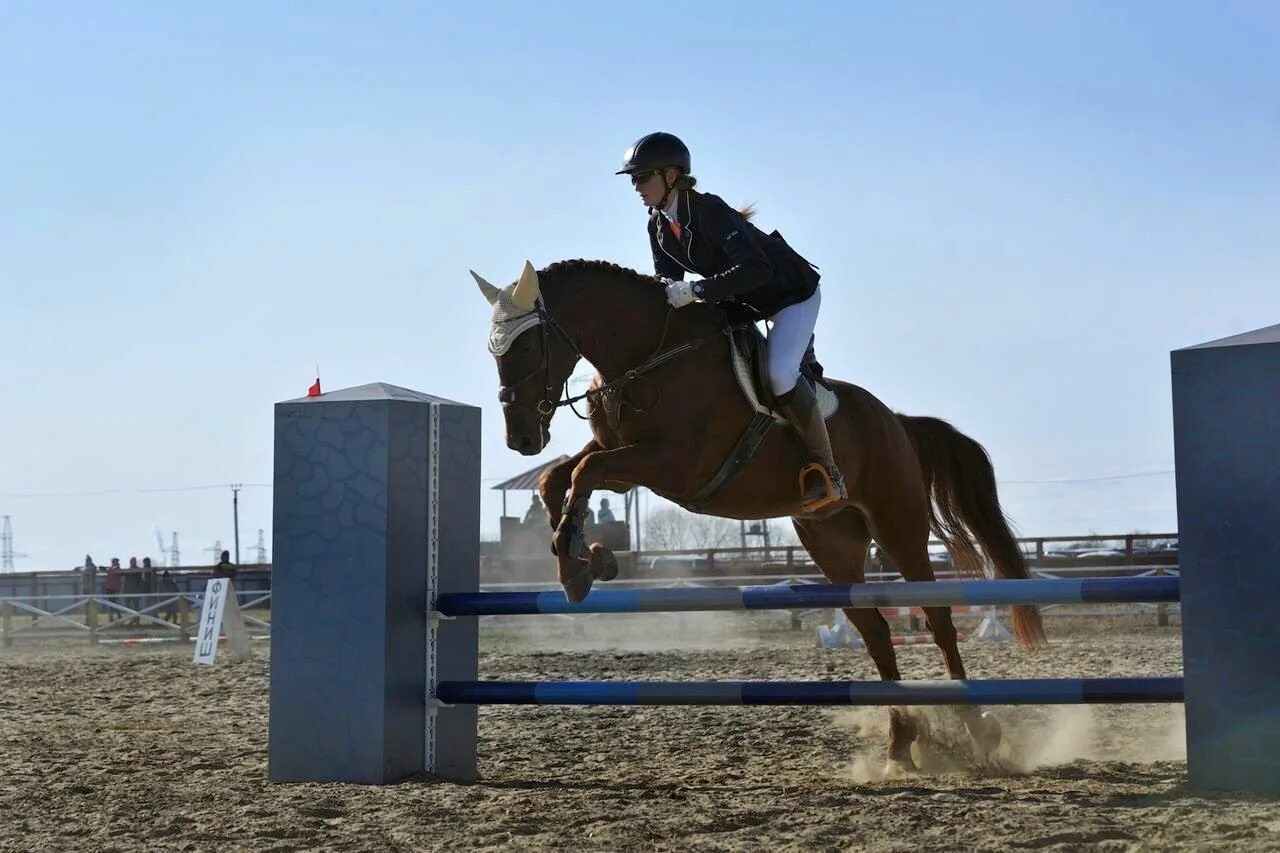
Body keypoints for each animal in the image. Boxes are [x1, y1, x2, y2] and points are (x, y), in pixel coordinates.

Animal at [476, 256, 1044, 768]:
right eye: (493, 350)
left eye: (525, 345)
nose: (520, 438)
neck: (647, 355)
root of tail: (899, 422)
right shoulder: (626, 461)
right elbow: (561, 477)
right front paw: (583, 561)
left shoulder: (672, 463)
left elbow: (584, 472)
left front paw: (579, 557)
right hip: (832, 543)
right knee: (877, 634)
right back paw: (900, 746)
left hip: (897, 526)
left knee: (938, 619)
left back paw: (978, 731)